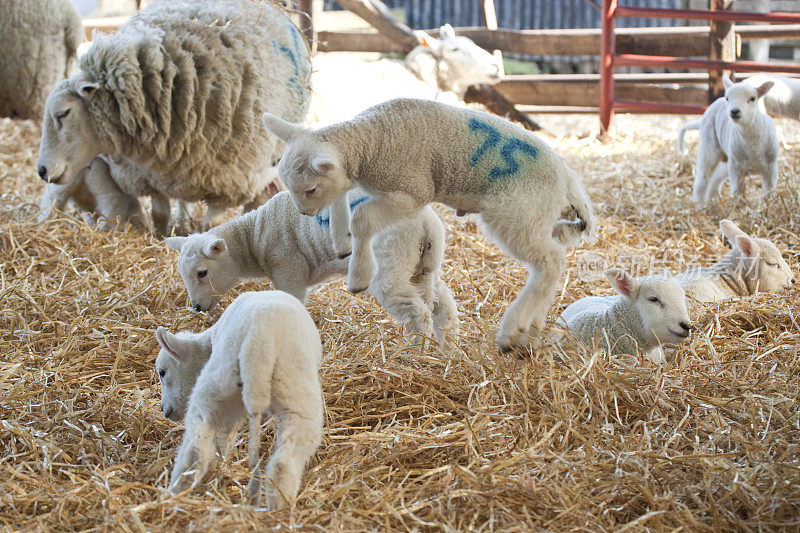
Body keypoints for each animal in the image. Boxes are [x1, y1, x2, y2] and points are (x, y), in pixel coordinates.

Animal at [36, 0, 310, 229]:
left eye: (63, 113)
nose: (41, 170)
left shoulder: (228, 181)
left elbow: (211, 225)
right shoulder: (151, 175)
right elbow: (160, 215)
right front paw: (160, 238)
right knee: (181, 197)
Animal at [165, 190, 460, 344]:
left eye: (202, 272)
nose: (196, 307)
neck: (255, 235)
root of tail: (426, 224)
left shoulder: (289, 270)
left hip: (391, 263)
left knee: (417, 313)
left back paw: (415, 352)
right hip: (421, 265)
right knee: (442, 305)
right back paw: (446, 348)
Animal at [262, 96, 592, 354]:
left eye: (310, 189)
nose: (304, 213)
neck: (372, 140)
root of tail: (567, 178)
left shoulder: (411, 192)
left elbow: (362, 217)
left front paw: (359, 275)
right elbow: (342, 200)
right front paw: (342, 243)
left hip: (517, 213)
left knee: (550, 260)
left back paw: (511, 332)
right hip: (537, 217)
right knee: (550, 266)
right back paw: (530, 334)